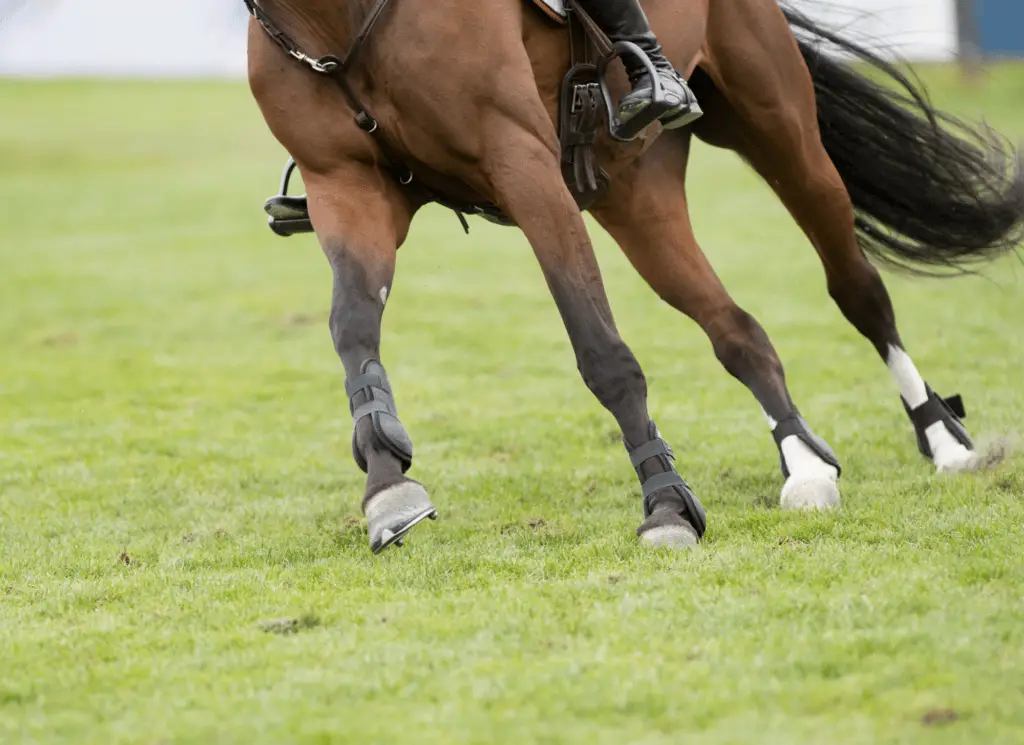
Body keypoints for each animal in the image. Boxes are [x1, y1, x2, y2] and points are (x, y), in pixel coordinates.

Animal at [241, 0, 1024, 552]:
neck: (339, 15)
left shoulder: (524, 167)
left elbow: (603, 354)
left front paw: (669, 505)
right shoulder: (347, 188)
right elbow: (352, 331)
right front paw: (386, 483)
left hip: (782, 132)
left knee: (858, 291)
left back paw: (944, 439)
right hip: (637, 198)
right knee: (737, 330)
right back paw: (805, 464)